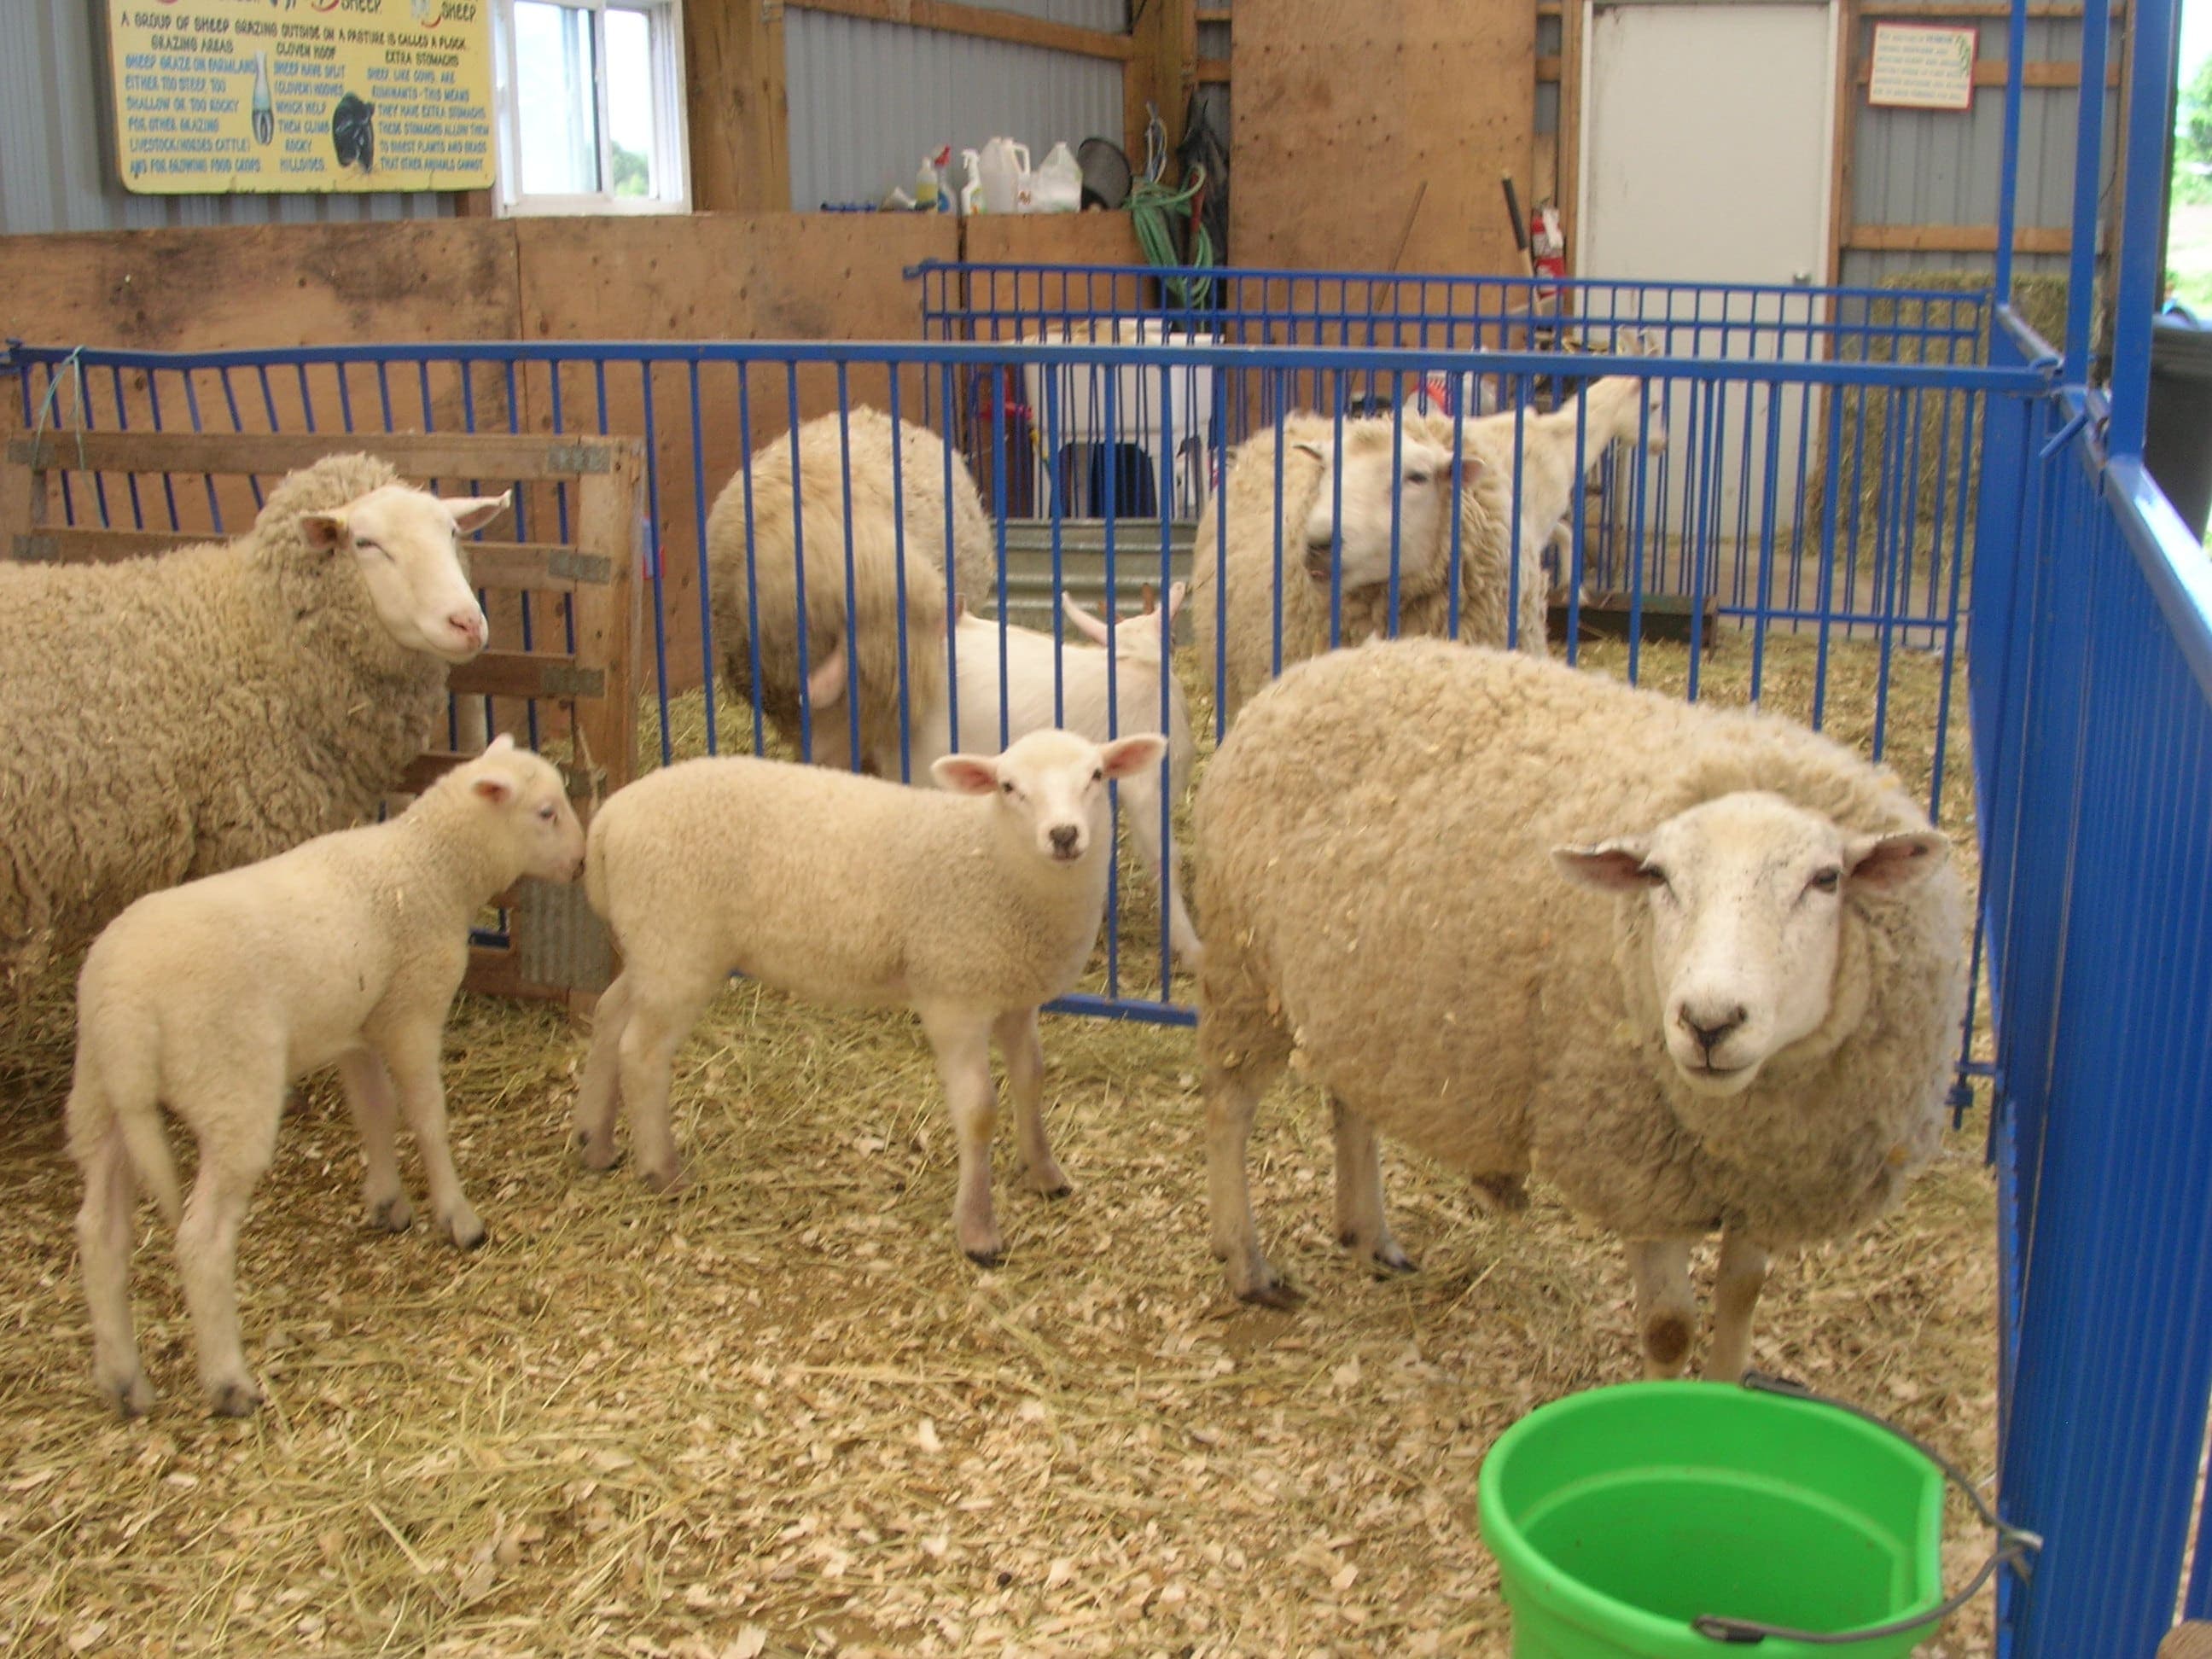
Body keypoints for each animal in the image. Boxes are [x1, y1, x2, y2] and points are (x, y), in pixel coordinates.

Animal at [66, 736, 586, 1418]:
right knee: (201, 1239)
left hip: (99, 1101)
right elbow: (426, 1117)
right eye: (547, 812)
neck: (427, 866)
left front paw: (388, 1202)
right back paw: (229, 1381)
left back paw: (123, 1378)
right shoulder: (412, 1012)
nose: (581, 863)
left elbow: (374, 1112)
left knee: (100, 1232)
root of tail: (123, 1005)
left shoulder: (359, 1027)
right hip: (229, 1087)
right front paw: (458, 1217)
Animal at [571, 726, 1169, 1264]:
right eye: (1008, 787)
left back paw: (594, 1140)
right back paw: (662, 1170)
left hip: (654, 946)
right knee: (642, 1052)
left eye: (1096, 776)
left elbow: (1031, 1080)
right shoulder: (953, 997)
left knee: (609, 1014)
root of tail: (608, 821)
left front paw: (1045, 1173)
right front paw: (978, 1231)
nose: (1064, 835)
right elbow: (978, 1111)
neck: (996, 861)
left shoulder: (1016, 995)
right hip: (679, 944)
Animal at [1194, 639, 1965, 1382]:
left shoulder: (1764, 1184)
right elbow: (1670, 1328)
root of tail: (1311, 670)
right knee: (1229, 1108)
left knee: (1351, 1099)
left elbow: (1742, 1300)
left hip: (1358, 989)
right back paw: (1246, 1263)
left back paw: (1370, 1236)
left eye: (1826, 880)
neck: (1747, 1121)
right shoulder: (1636, 1168)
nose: (1708, 1022)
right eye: (1657, 877)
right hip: (1243, 969)